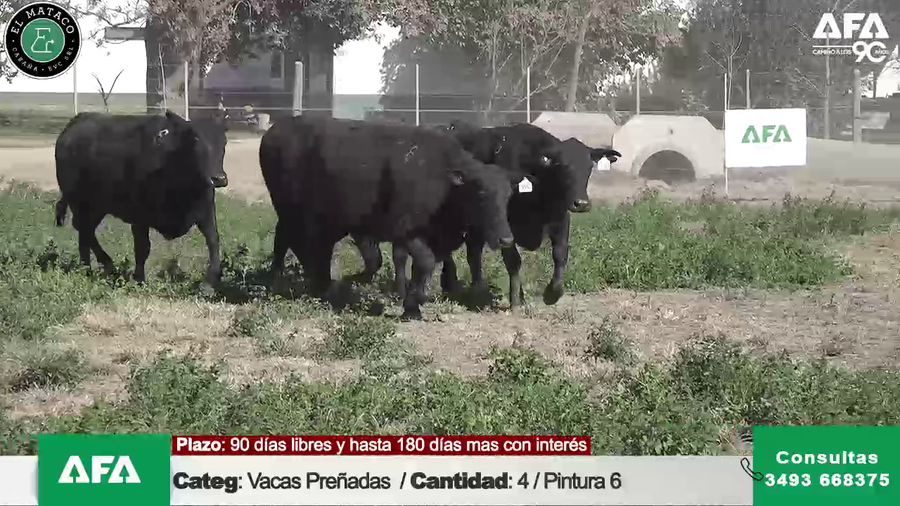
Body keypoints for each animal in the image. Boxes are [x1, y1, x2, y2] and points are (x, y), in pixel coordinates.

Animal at [53, 110, 229, 293]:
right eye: (195, 140)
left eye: (224, 141)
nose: (219, 178)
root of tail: (78, 119)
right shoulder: (139, 216)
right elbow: (143, 247)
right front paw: (139, 279)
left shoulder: (206, 211)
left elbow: (213, 241)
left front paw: (209, 282)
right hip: (78, 201)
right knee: (84, 229)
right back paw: (97, 265)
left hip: (97, 206)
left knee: (86, 230)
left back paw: (90, 267)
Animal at [258, 116, 523, 319]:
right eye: (481, 194)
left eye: (508, 196)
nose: (506, 239)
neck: (442, 182)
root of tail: (277, 129)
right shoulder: (404, 231)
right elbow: (424, 263)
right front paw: (412, 302)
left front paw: (411, 305)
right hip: (290, 212)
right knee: (285, 241)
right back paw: (277, 282)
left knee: (309, 247)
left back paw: (319, 285)